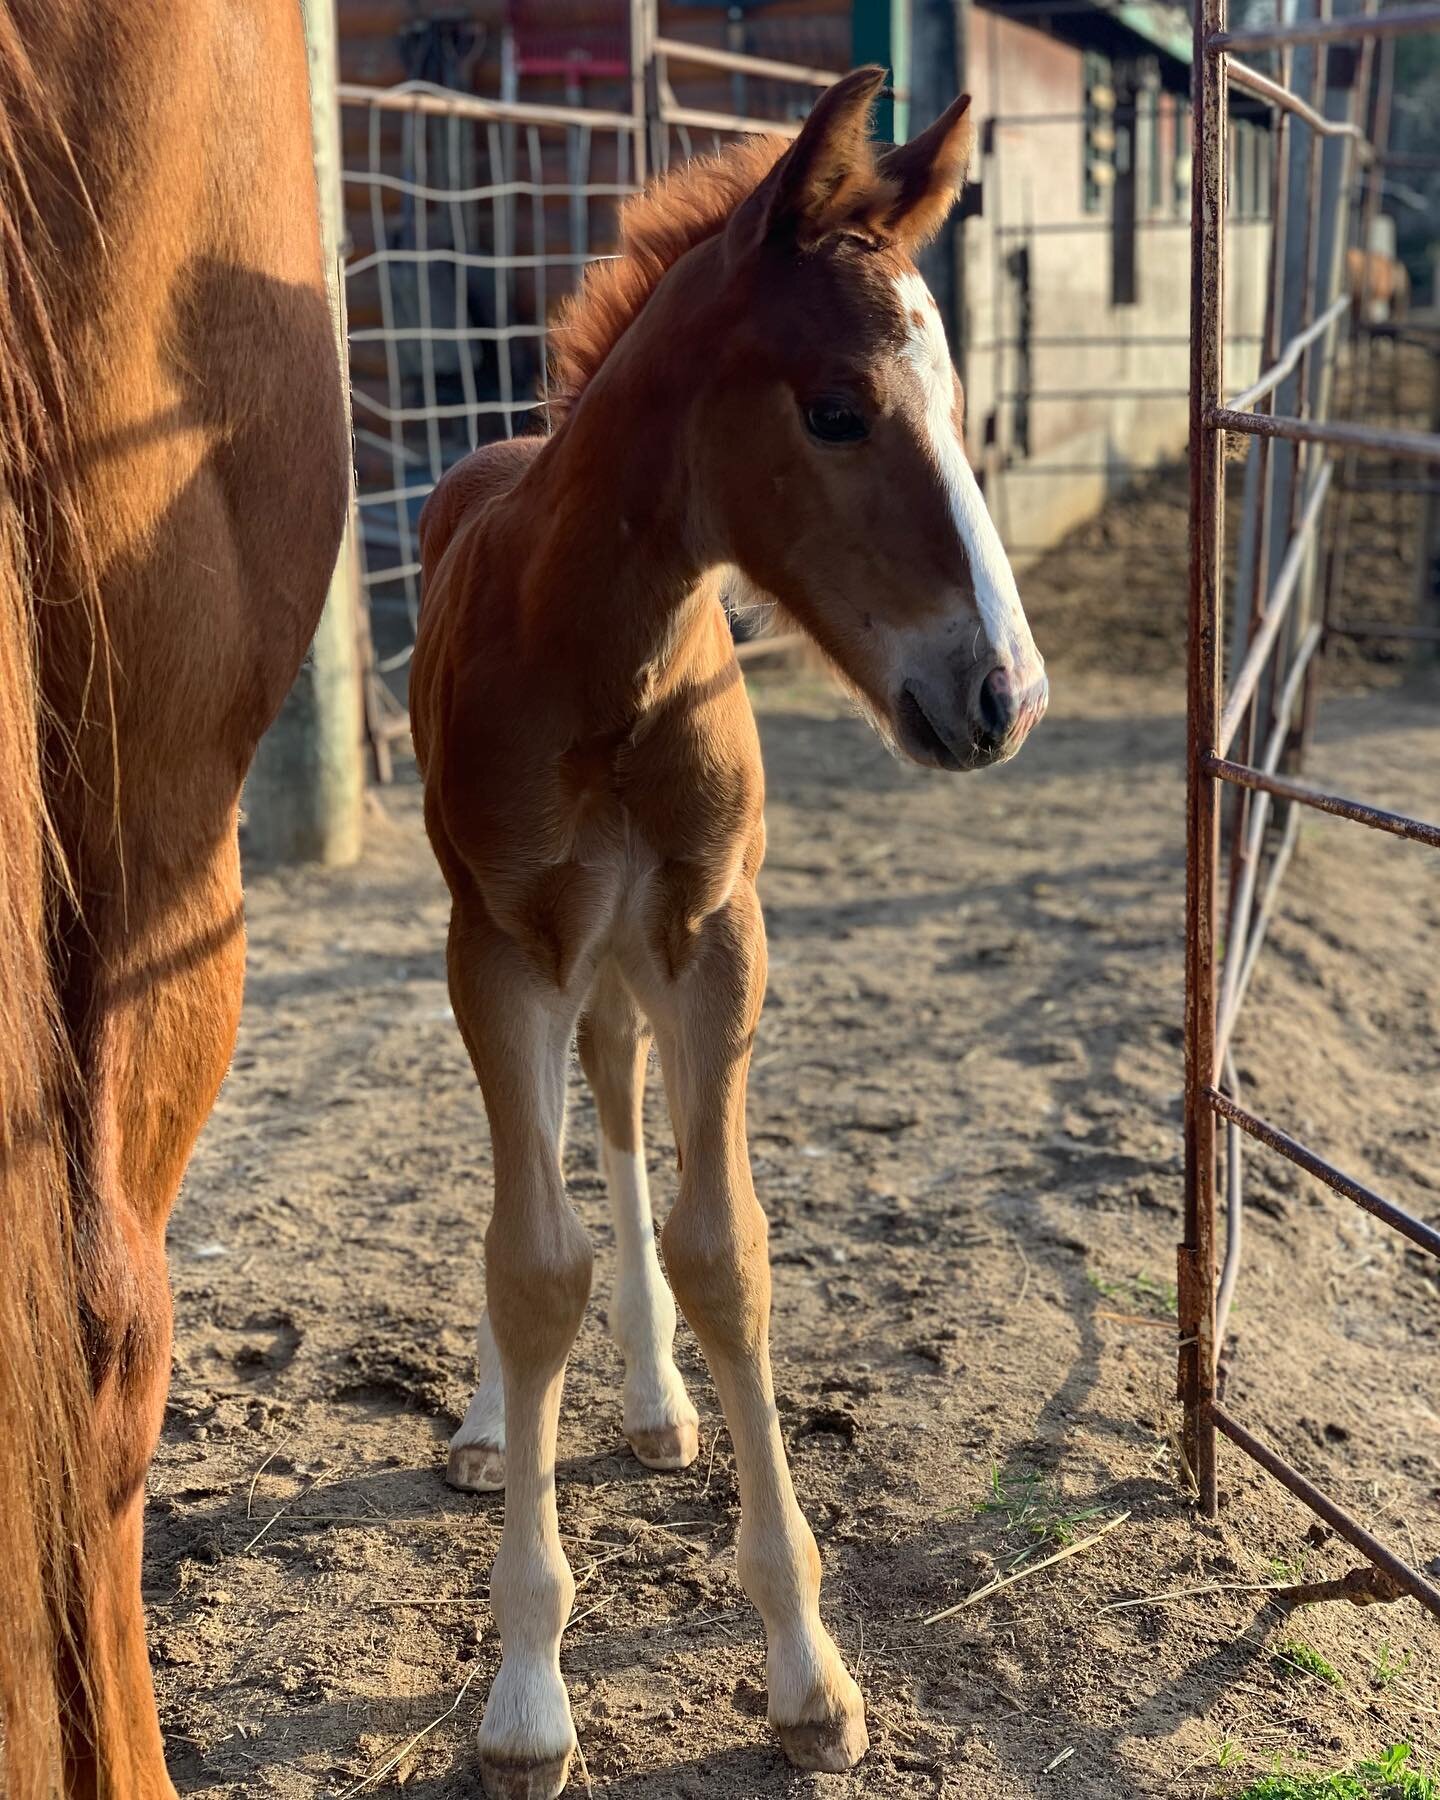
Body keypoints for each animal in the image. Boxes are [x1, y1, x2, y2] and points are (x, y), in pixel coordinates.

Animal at [410, 70, 1051, 1800]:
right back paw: (497, 1421)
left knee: (620, 1113)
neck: (603, 661)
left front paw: (809, 1673)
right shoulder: (501, 946)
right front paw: (526, 1695)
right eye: (835, 410)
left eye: (957, 400)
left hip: (629, 959)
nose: (1004, 695)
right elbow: (530, 1258)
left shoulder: (715, 934)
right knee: (536, 1163)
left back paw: (648, 1401)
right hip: (528, 949)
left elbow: (725, 1249)